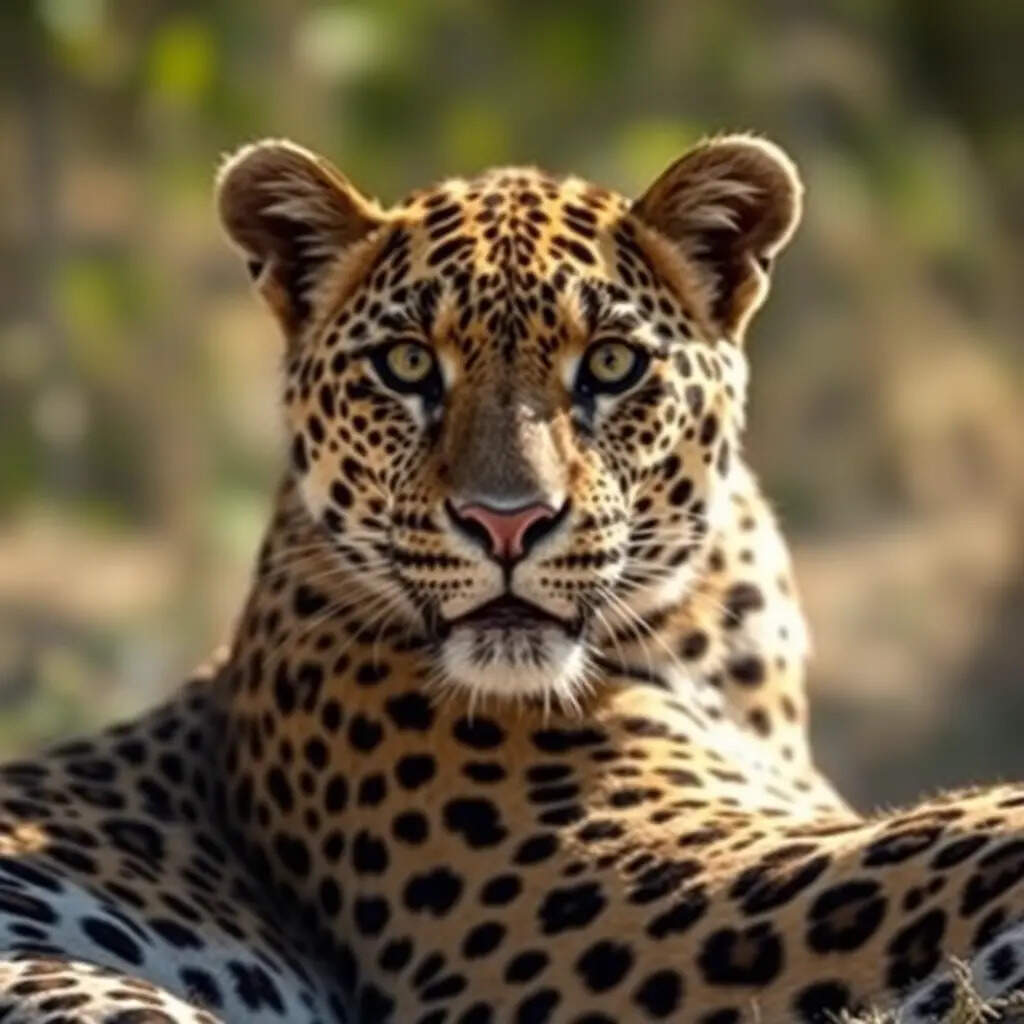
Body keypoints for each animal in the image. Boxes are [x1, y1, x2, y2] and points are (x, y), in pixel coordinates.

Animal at [2, 133, 1024, 1024]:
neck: (720, 656)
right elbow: (959, 834)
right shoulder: (669, 901)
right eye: (406, 363)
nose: (506, 523)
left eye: (611, 363)